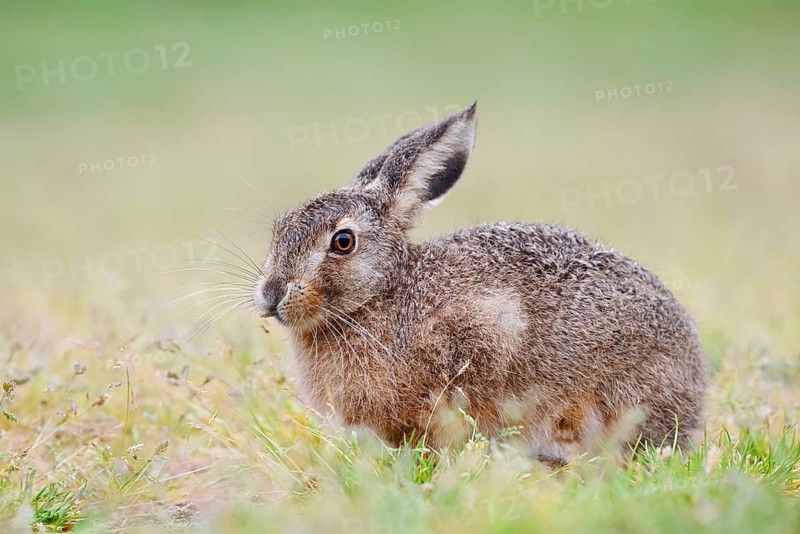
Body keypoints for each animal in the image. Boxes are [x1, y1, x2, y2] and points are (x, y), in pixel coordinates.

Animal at [253, 102, 707, 464]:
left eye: (343, 241)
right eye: (280, 228)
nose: (272, 295)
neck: (384, 294)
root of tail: (695, 394)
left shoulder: (483, 335)